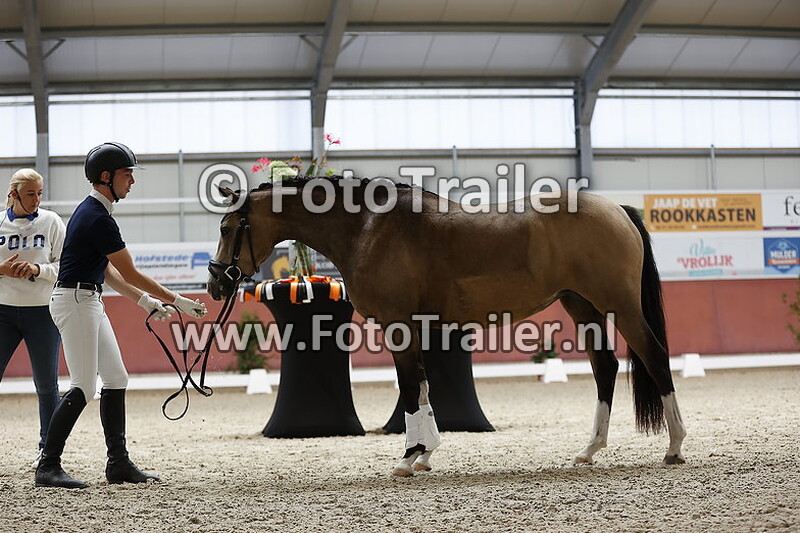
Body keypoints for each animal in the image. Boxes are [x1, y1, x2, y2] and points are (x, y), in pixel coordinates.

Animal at [207, 176, 687, 477]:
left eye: (228, 228)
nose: (216, 283)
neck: (367, 228)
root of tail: (617, 209)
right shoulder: (414, 327)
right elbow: (422, 386)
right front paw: (424, 454)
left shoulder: (397, 325)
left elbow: (410, 387)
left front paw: (409, 457)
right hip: (581, 306)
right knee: (605, 367)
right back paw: (589, 450)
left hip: (620, 306)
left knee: (655, 356)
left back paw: (675, 446)